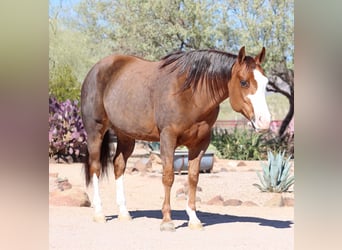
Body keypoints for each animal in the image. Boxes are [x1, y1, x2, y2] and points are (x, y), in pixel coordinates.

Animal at [81, 46, 272, 230]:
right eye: (244, 82)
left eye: (266, 83)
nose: (265, 121)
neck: (192, 95)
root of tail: (95, 69)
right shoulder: (167, 138)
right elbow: (168, 177)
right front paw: (167, 221)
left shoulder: (199, 144)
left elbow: (193, 178)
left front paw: (194, 219)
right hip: (95, 131)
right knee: (95, 167)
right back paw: (99, 213)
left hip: (125, 136)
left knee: (119, 165)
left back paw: (124, 213)